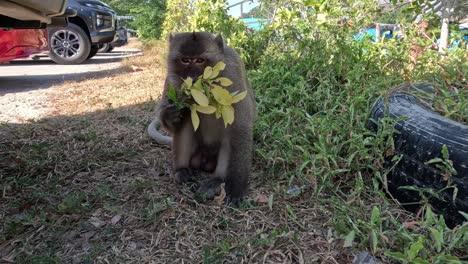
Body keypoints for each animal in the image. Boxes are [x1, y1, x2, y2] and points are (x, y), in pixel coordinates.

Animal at [147, 31, 254, 206]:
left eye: (199, 60)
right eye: (185, 60)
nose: (191, 77)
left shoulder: (232, 72)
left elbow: (240, 127)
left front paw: (237, 187)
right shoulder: (173, 80)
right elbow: (174, 120)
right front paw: (170, 115)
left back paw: (216, 181)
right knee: (186, 121)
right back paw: (182, 171)